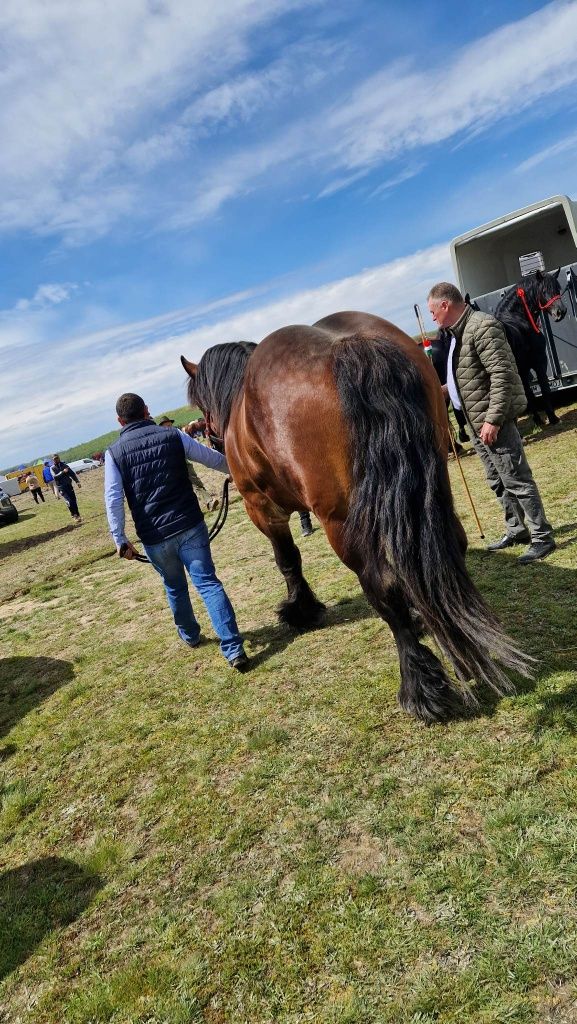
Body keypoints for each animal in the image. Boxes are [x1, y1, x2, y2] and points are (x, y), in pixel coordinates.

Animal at [181, 309, 532, 720]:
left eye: (202, 412)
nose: (212, 439)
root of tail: (354, 348)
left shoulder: (263, 509)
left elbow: (288, 560)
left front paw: (300, 610)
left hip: (341, 520)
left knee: (383, 584)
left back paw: (420, 688)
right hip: (432, 484)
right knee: (448, 550)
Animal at [491, 270, 569, 425]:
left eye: (558, 288)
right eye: (544, 291)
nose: (560, 312)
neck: (517, 317)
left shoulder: (523, 369)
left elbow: (528, 393)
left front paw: (538, 419)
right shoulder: (539, 361)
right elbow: (544, 387)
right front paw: (552, 417)